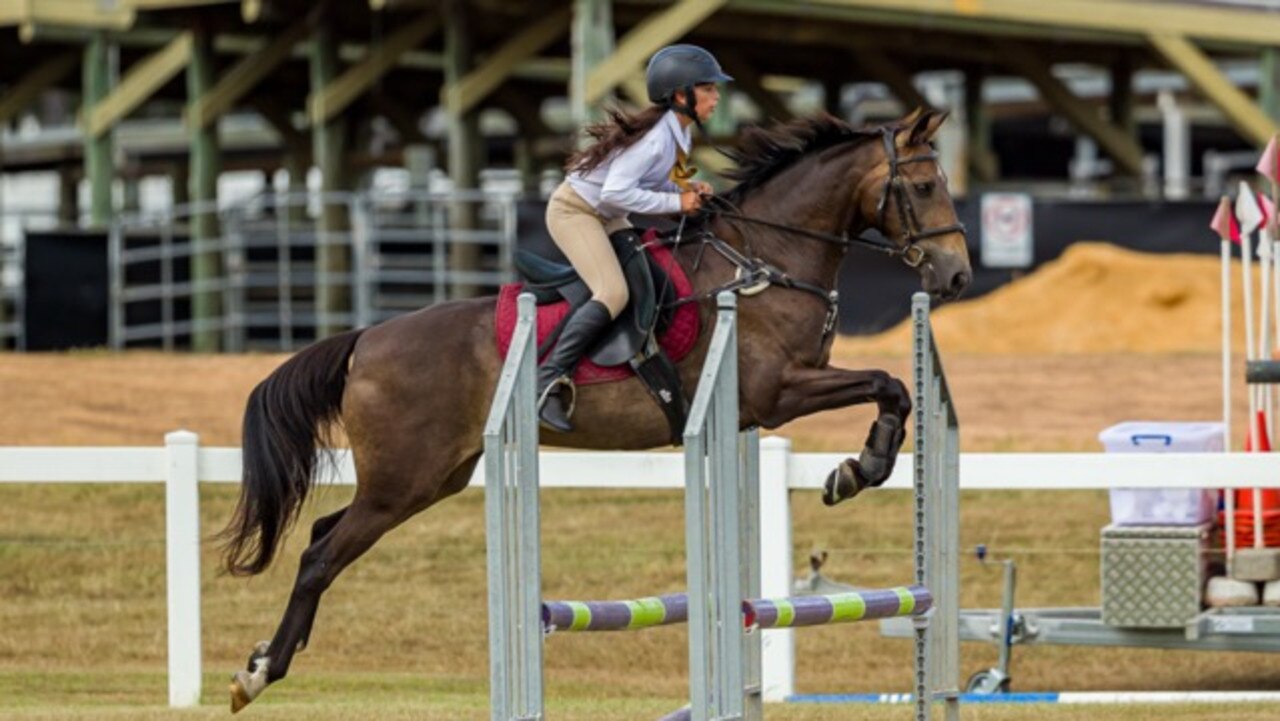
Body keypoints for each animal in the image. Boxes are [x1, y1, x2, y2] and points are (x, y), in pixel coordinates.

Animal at [225, 106, 972, 712]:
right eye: (924, 187)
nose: (957, 275)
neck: (764, 258)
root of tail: (365, 341)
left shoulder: (768, 400)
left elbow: (894, 388)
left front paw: (856, 469)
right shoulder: (779, 391)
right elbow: (889, 383)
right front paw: (858, 469)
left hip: (430, 478)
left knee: (323, 532)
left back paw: (266, 657)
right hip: (403, 480)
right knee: (320, 556)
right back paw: (259, 672)